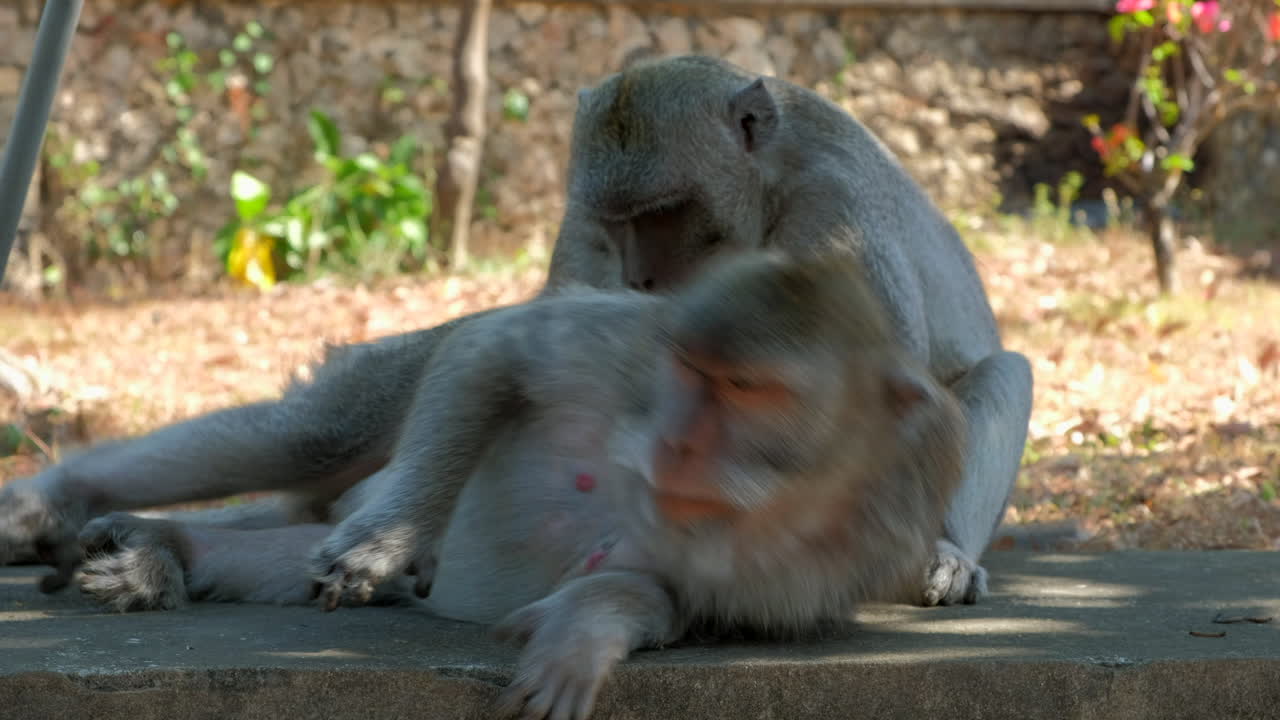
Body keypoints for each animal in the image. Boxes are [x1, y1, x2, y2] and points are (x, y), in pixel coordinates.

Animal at [24, 249, 965, 720]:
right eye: (692, 370)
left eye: (748, 389)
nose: (676, 438)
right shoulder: (637, 350)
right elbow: (496, 354)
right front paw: (386, 541)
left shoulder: (825, 555)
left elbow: (676, 601)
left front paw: (581, 633)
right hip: (390, 376)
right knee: (317, 437)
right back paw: (51, 501)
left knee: (289, 547)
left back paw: (159, 548)